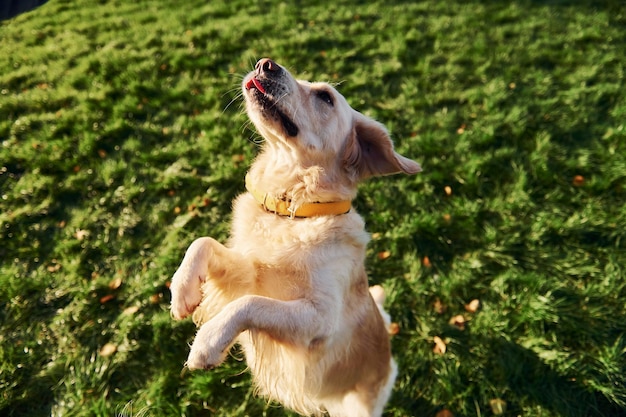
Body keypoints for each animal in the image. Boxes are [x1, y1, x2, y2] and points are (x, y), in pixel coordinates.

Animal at [168, 57, 420, 414]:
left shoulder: (320, 319)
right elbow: (202, 243)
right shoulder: (250, 270)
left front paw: (208, 342)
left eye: (325, 97)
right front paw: (183, 291)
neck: (294, 210)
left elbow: (250, 304)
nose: (265, 64)